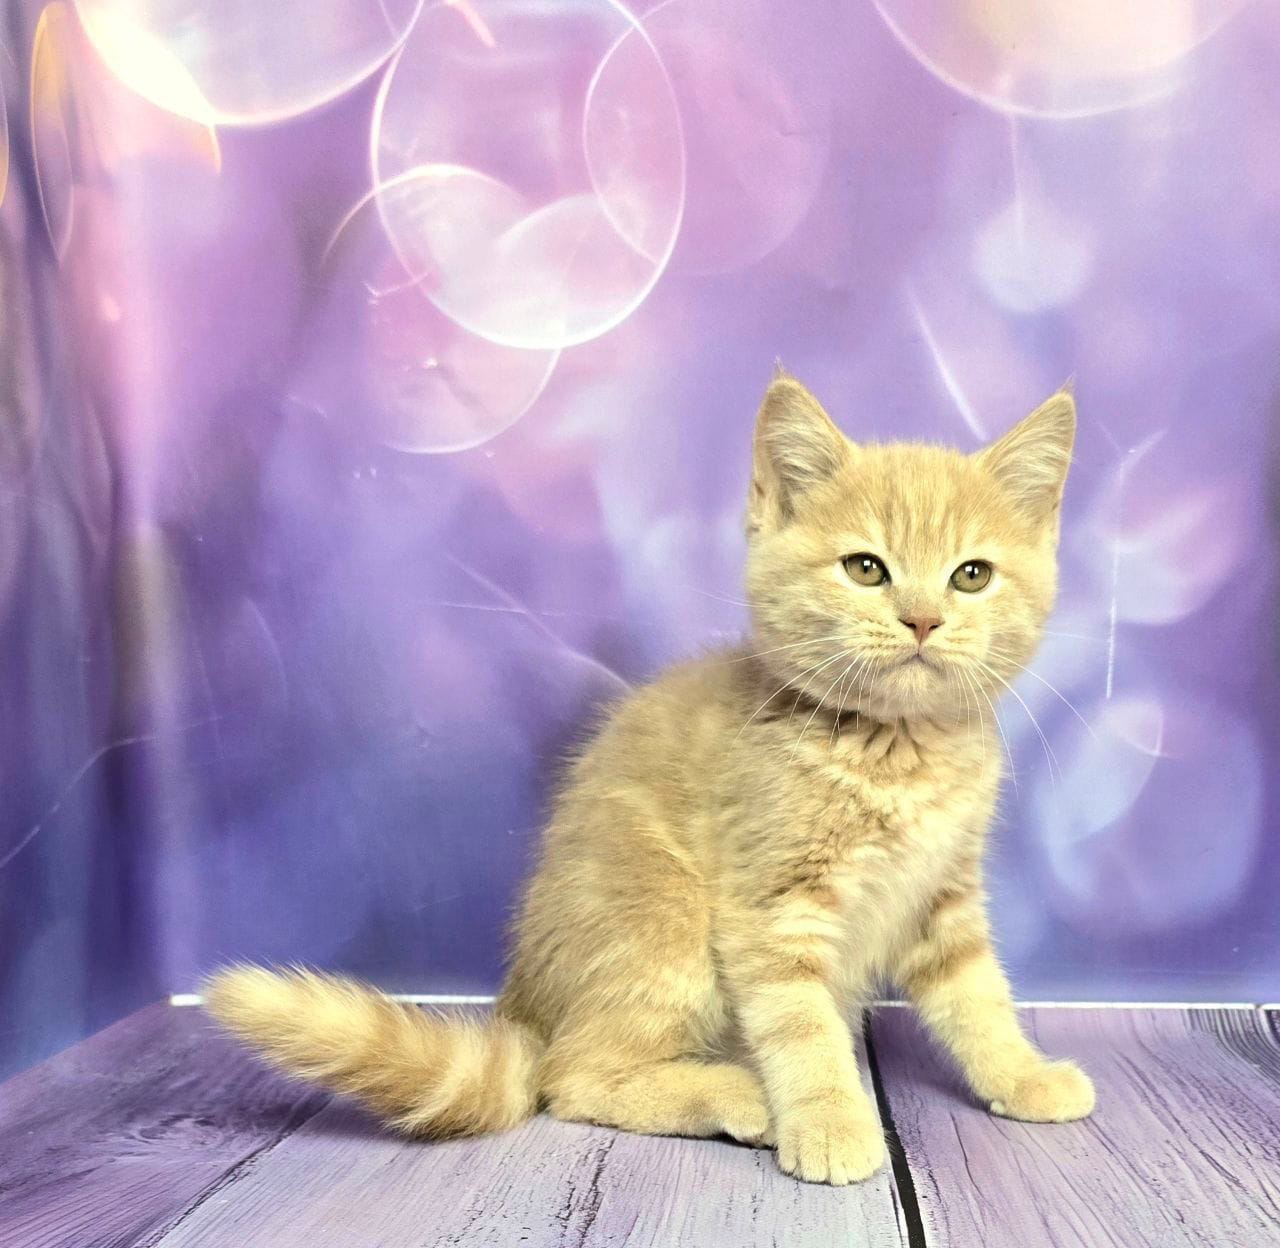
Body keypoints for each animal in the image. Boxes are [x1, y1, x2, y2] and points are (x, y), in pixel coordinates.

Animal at [205, 371, 1094, 1186]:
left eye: (971, 575)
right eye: (866, 568)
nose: (922, 619)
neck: (898, 748)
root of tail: (523, 1008)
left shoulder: (945, 897)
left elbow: (978, 997)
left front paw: (1022, 1075)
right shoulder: (770, 905)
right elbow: (799, 1025)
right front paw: (829, 1120)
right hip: (662, 920)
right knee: (571, 1077)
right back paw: (737, 1094)